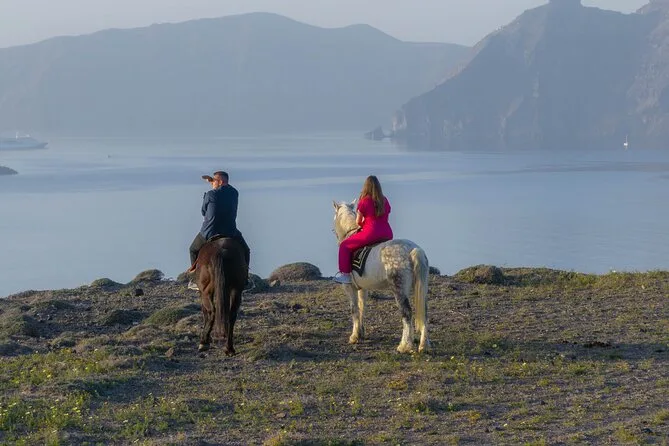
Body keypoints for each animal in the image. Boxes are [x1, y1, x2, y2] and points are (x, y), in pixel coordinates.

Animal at [332, 200, 430, 353]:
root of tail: (413, 249)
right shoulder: (363, 288)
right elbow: (362, 307)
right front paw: (361, 332)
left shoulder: (349, 287)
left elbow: (354, 309)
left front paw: (354, 336)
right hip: (421, 288)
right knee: (424, 313)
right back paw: (424, 345)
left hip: (399, 289)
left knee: (406, 313)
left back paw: (404, 345)